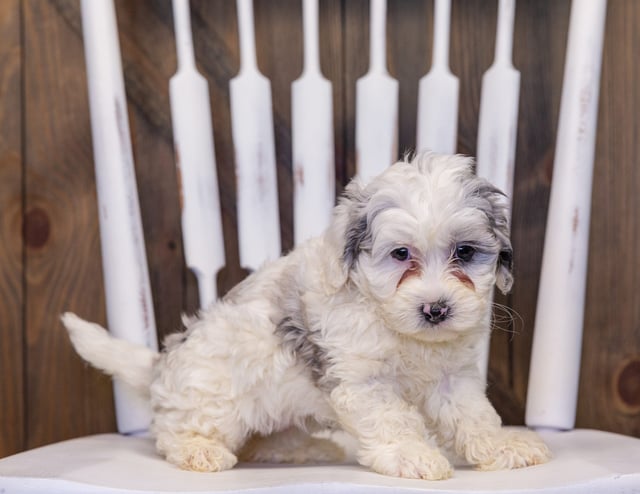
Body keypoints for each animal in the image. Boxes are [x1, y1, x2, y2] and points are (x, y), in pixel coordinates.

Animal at [66, 153, 556, 478]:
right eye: (401, 255)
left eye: (466, 253)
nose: (436, 309)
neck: (395, 326)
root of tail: (161, 367)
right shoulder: (361, 380)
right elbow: (392, 419)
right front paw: (411, 455)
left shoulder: (453, 377)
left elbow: (474, 416)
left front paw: (502, 446)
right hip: (212, 397)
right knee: (174, 429)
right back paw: (198, 451)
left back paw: (305, 448)